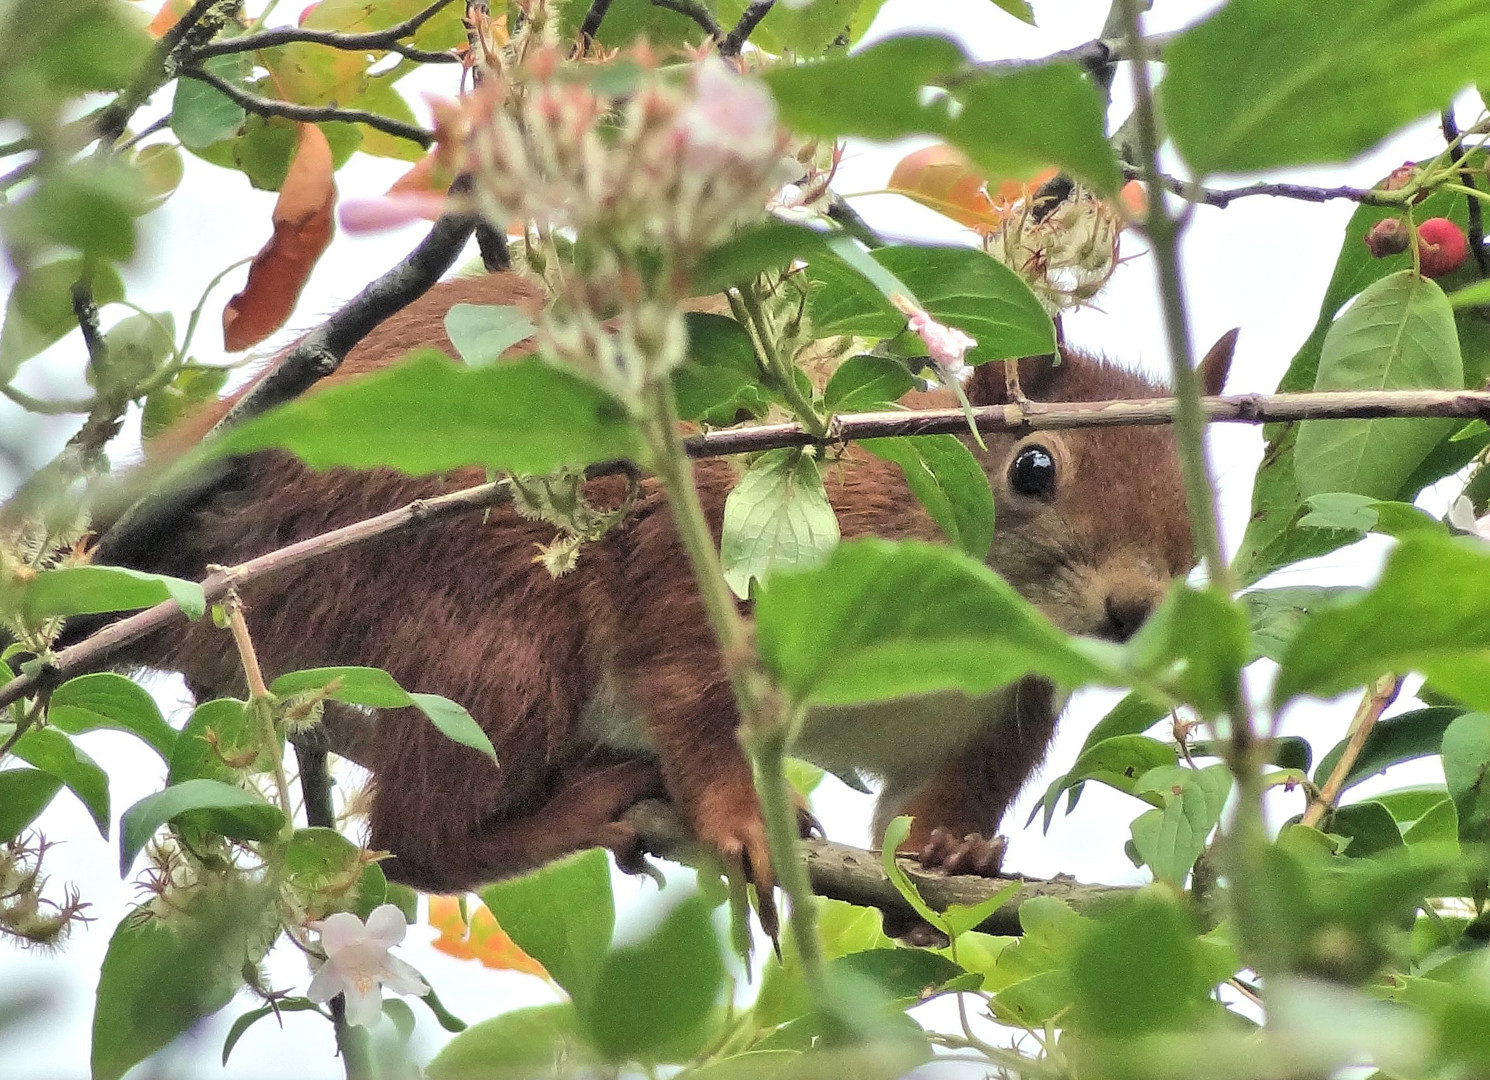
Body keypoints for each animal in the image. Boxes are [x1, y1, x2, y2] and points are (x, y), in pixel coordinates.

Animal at [90, 268, 1233, 899]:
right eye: (1033, 467)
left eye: (1208, 487)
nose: (1133, 611)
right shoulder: (722, 551)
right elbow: (686, 675)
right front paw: (738, 818)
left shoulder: (994, 710)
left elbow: (914, 816)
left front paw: (953, 850)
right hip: (493, 632)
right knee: (416, 844)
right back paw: (565, 815)